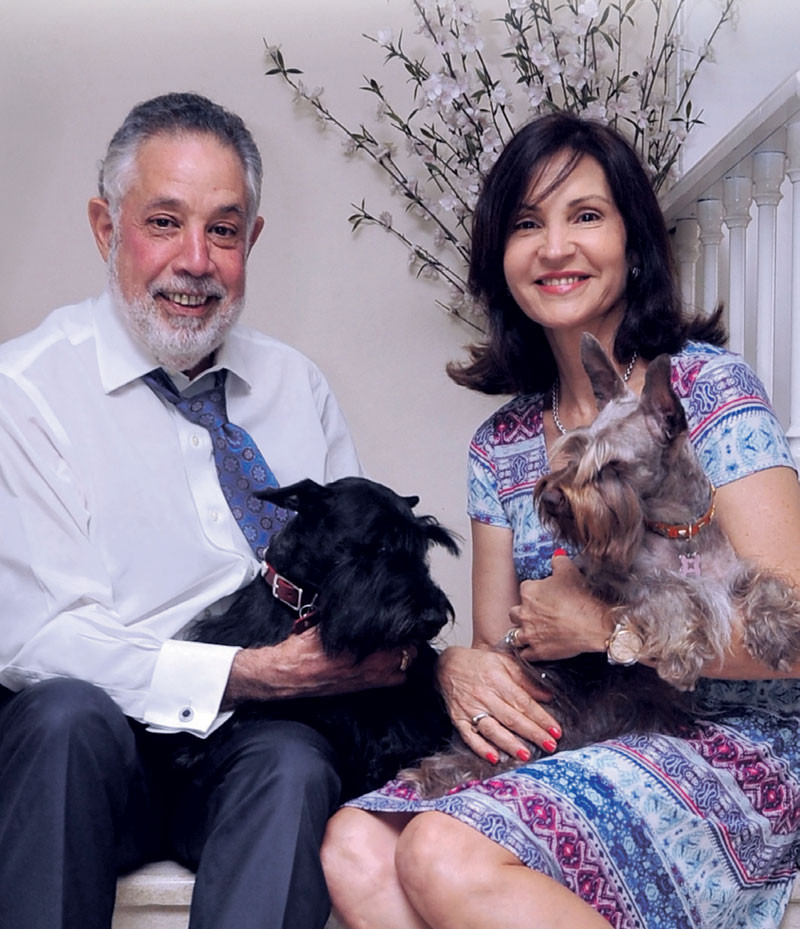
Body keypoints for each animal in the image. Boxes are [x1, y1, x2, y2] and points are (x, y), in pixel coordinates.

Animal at [400, 334, 800, 798]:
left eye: (611, 466)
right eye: (573, 450)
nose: (552, 497)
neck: (677, 534)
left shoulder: (727, 575)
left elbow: (764, 578)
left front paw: (778, 630)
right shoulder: (614, 580)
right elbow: (667, 589)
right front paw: (681, 651)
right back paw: (437, 775)